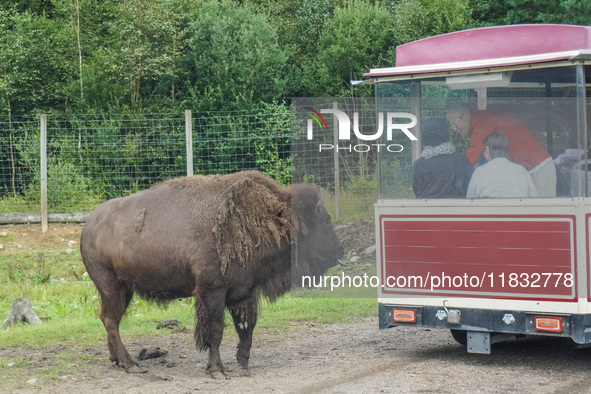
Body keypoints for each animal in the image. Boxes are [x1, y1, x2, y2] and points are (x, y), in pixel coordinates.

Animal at [81, 170, 344, 378]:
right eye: (326, 220)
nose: (340, 252)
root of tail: (88, 225)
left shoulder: (244, 291)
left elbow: (246, 326)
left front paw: (243, 361)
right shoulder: (213, 292)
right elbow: (216, 331)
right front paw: (217, 370)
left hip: (123, 289)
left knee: (110, 319)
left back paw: (117, 360)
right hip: (111, 286)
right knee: (110, 319)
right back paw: (130, 364)